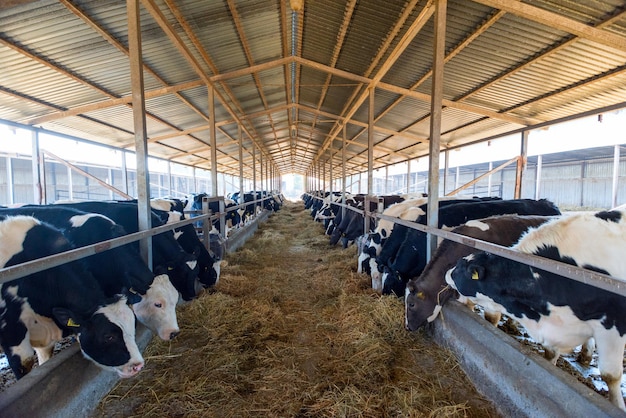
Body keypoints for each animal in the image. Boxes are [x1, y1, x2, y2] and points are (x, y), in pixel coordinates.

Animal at [446, 209, 626, 408]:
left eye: (465, 269)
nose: (447, 273)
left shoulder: (613, 325)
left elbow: (610, 375)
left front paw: (618, 406)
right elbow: (550, 356)